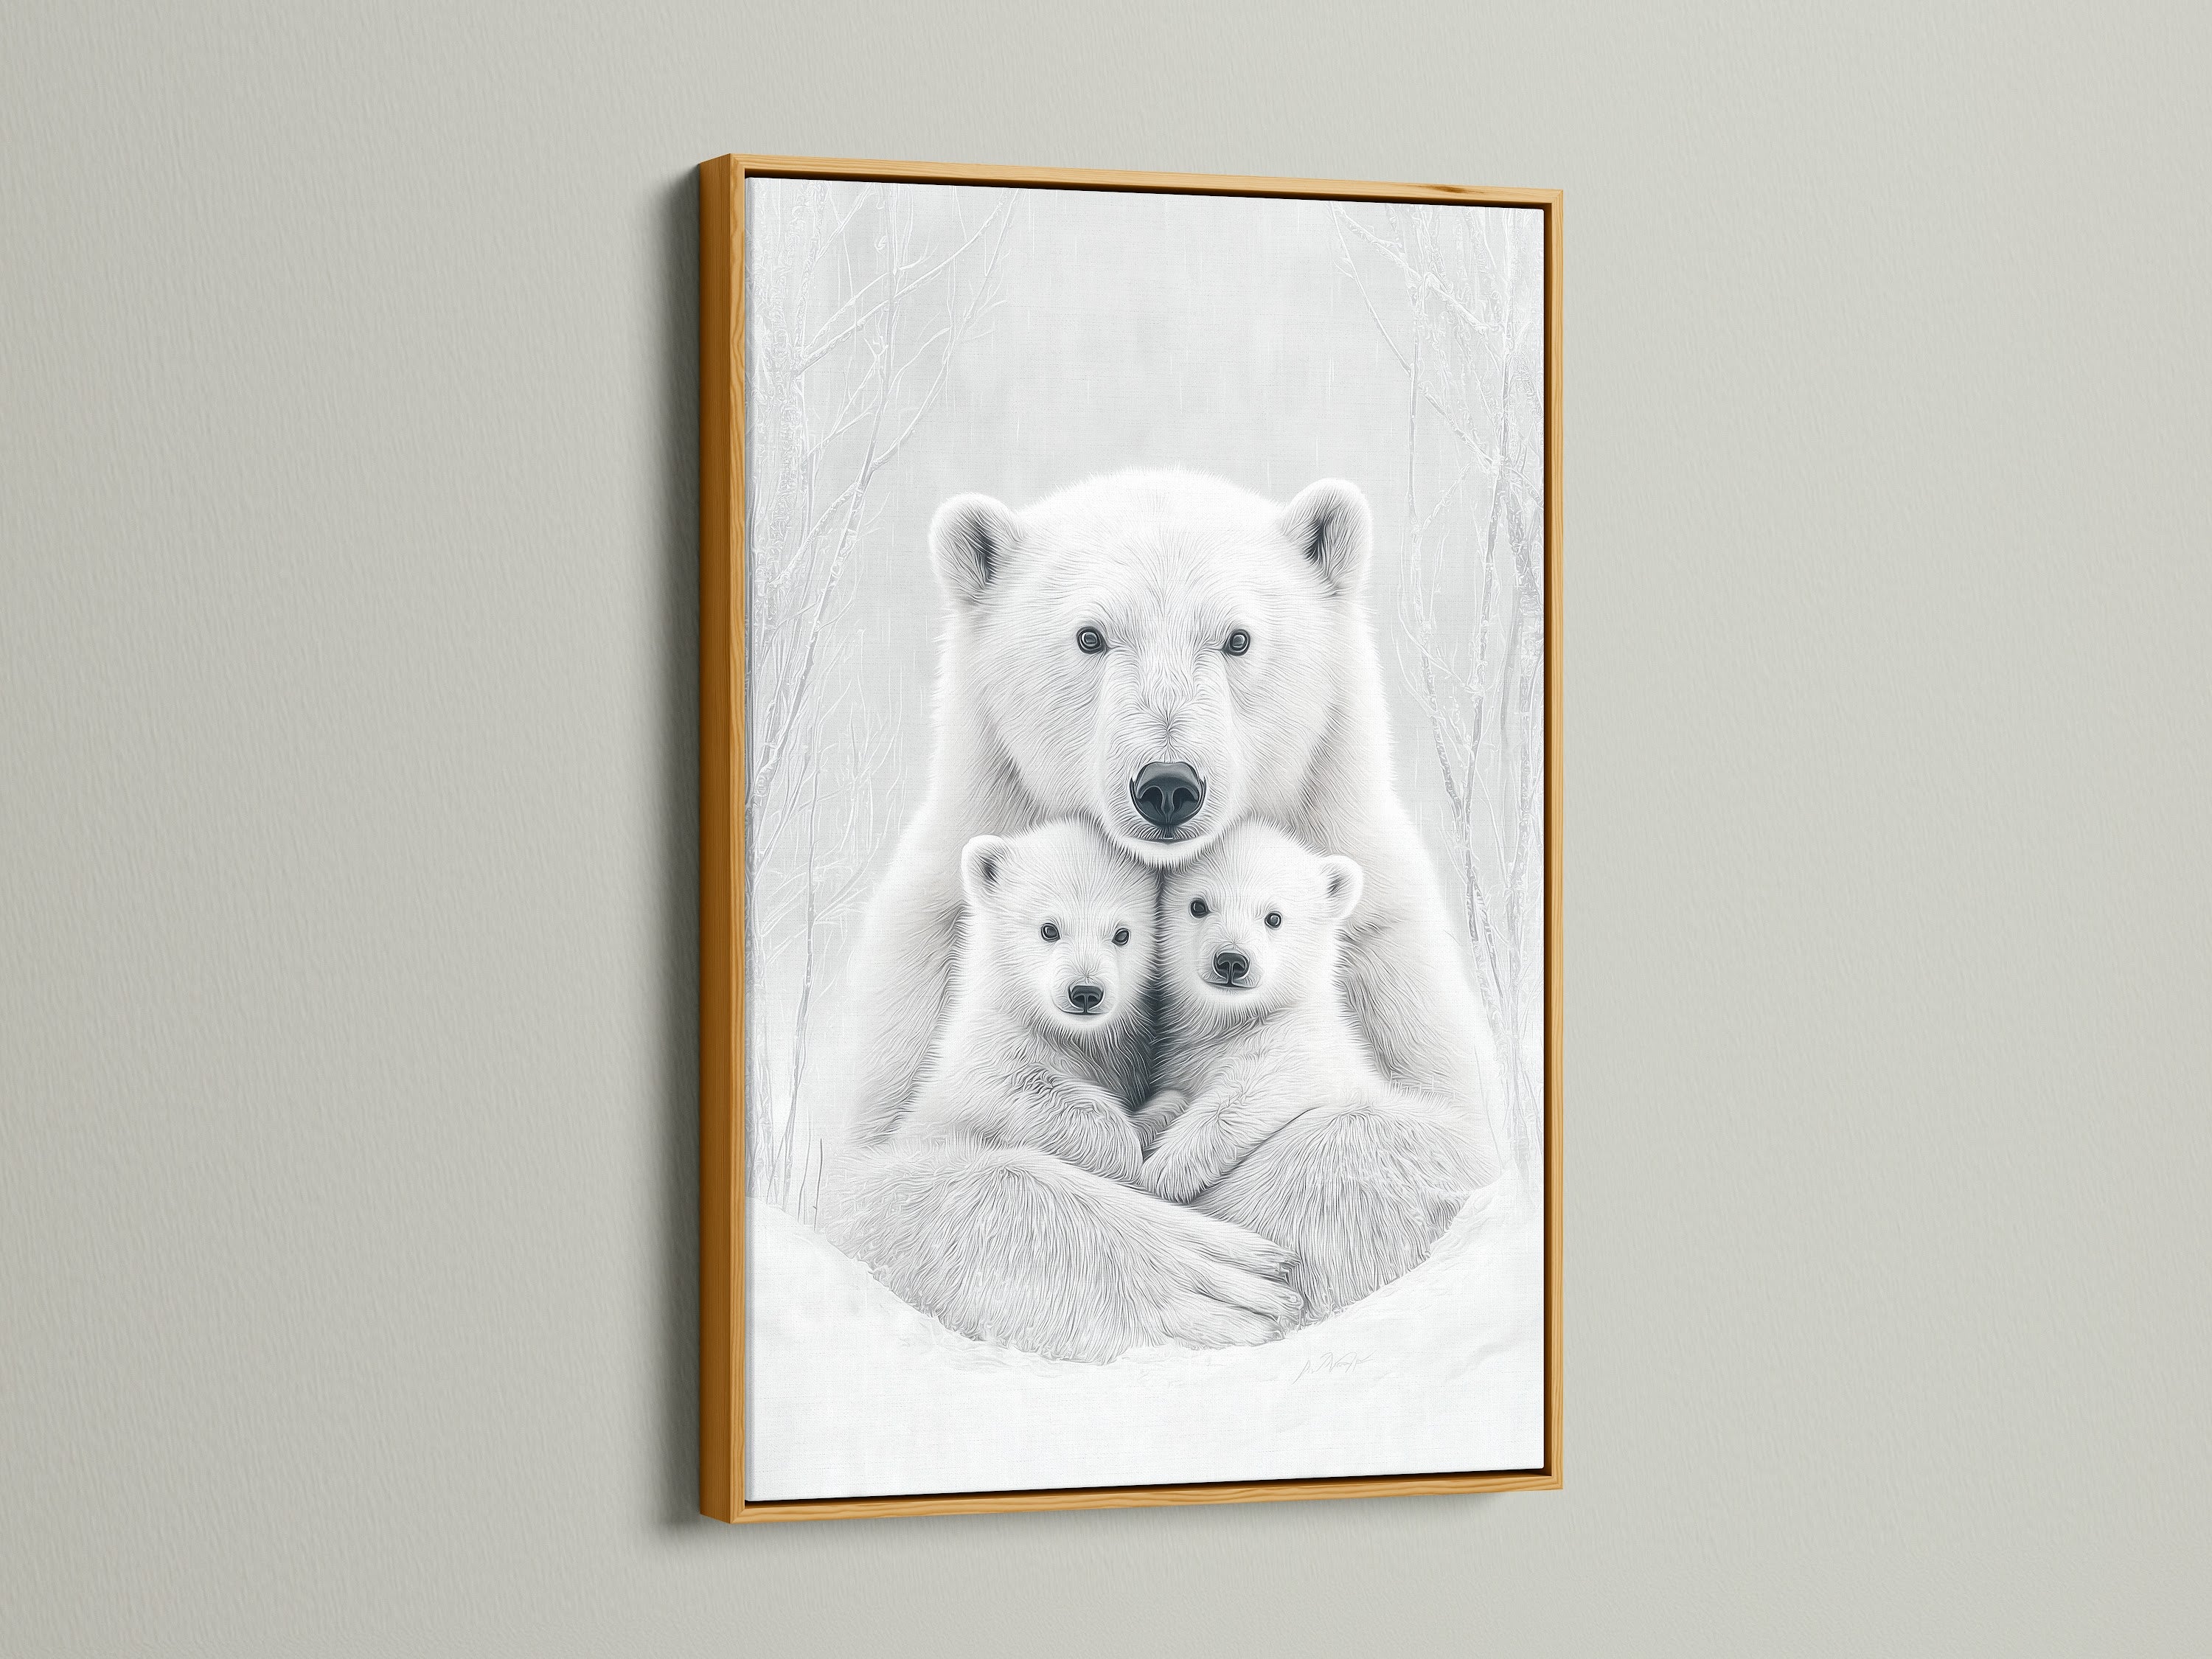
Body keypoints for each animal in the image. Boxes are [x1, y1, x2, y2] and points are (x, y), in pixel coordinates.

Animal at [900, 820, 1154, 1184]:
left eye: (1122, 934)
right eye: (1049, 929)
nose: (1086, 992)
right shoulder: (992, 1043)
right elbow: (1016, 1085)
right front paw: (1124, 1148)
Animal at [1139, 822, 1483, 1316]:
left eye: (1274, 917)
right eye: (1198, 905)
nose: (1232, 961)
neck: (1236, 1022)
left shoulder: (1306, 1046)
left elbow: (1256, 1089)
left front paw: (1165, 1172)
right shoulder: (1186, 1059)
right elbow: (1173, 1096)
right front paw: (1147, 1129)